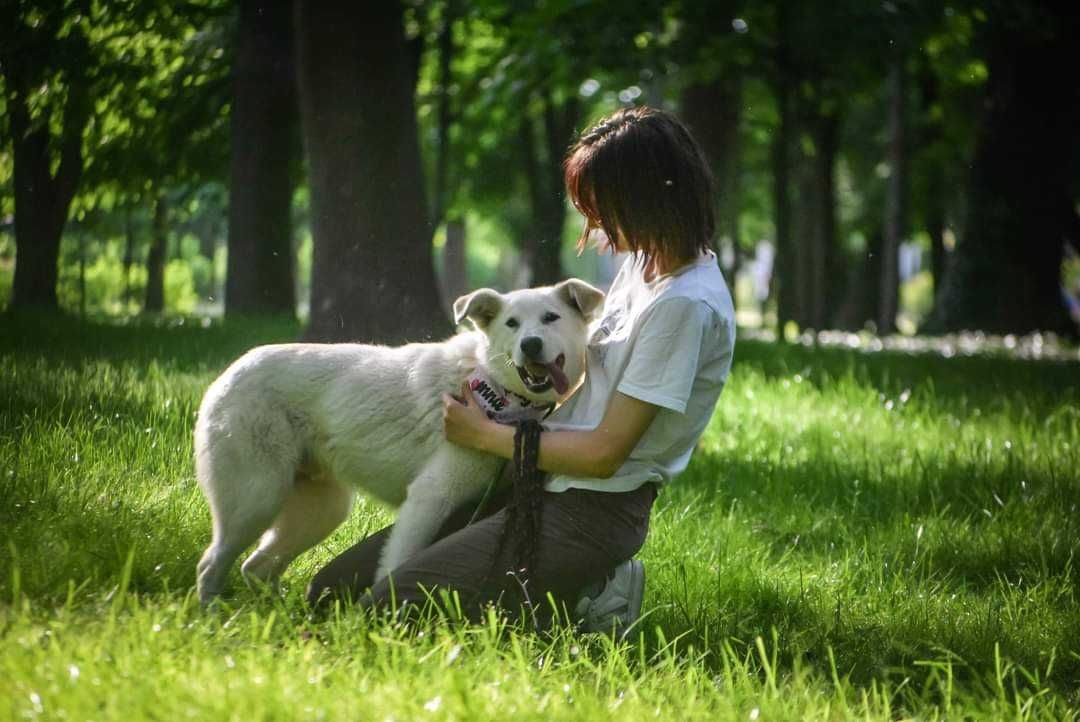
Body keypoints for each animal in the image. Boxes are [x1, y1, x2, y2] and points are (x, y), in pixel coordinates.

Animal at [191, 278, 604, 604]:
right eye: (512, 323)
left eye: (551, 318)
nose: (530, 344)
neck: (493, 388)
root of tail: (227, 374)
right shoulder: (429, 498)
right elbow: (396, 567)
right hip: (257, 501)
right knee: (210, 566)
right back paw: (213, 621)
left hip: (320, 512)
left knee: (255, 567)